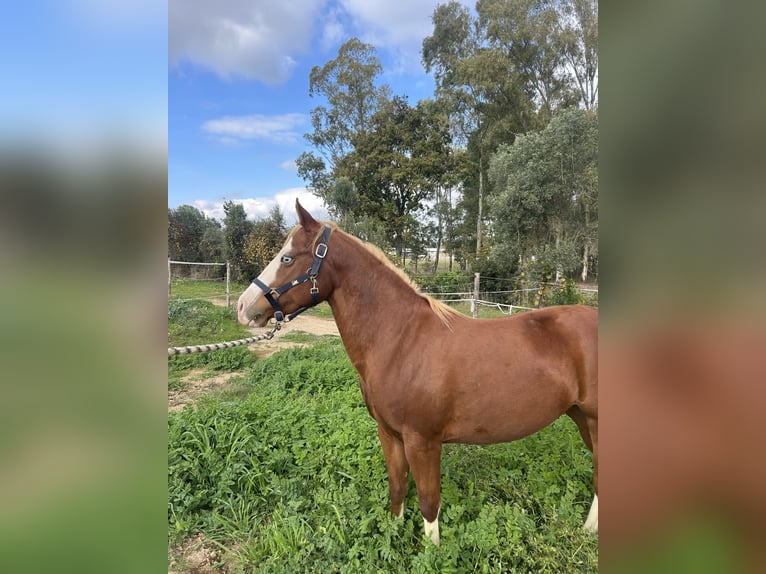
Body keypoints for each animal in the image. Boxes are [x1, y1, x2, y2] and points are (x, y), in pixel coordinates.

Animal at [237, 200, 598, 546]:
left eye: (287, 258)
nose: (243, 307)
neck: (401, 341)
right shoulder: (390, 434)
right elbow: (397, 487)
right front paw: (394, 534)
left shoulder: (423, 441)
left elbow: (428, 501)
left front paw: (431, 552)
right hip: (580, 417)